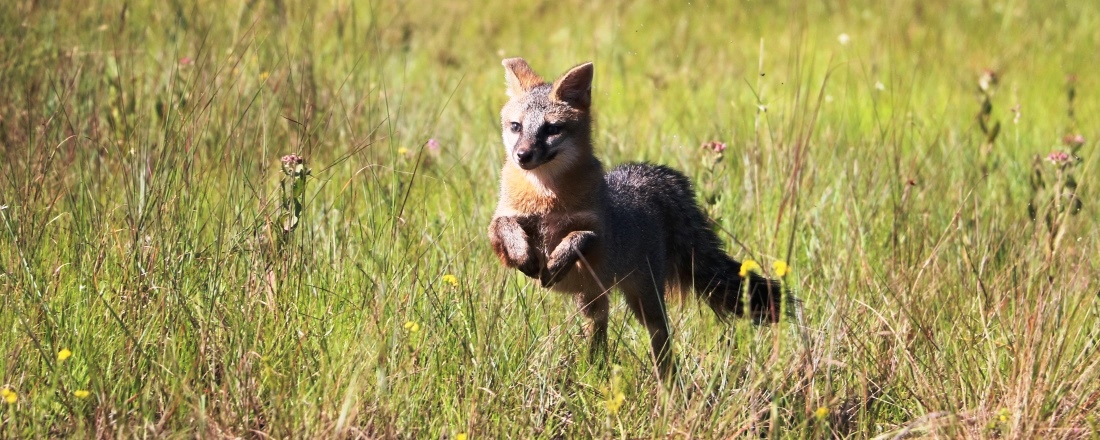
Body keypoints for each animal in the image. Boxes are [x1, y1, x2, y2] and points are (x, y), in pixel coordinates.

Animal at [487, 58, 786, 380]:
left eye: (551, 128)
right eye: (516, 126)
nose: (522, 155)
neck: (546, 199)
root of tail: (647, 181)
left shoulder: (600, 238)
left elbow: (579, 236)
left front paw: (556, 259)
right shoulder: (500, 226)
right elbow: (506, 226)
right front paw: (524, 253)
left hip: (644, 302)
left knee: (662, 339)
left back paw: (666, 383)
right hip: (592, 302)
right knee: (600, 334)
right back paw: (595, 368)